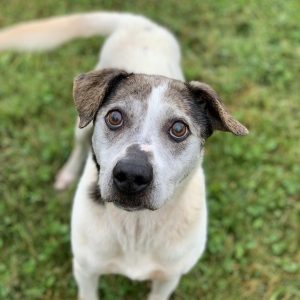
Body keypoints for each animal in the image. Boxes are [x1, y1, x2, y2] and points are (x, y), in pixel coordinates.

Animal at [0, 11, 248, 300]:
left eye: (179, 129)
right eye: (114, 117)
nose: (131, 174)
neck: (136, 226)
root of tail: (140, 22)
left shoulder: (169, 277)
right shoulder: (85, 270)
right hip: (81, 123)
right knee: (79, 143)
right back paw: (66, 174)